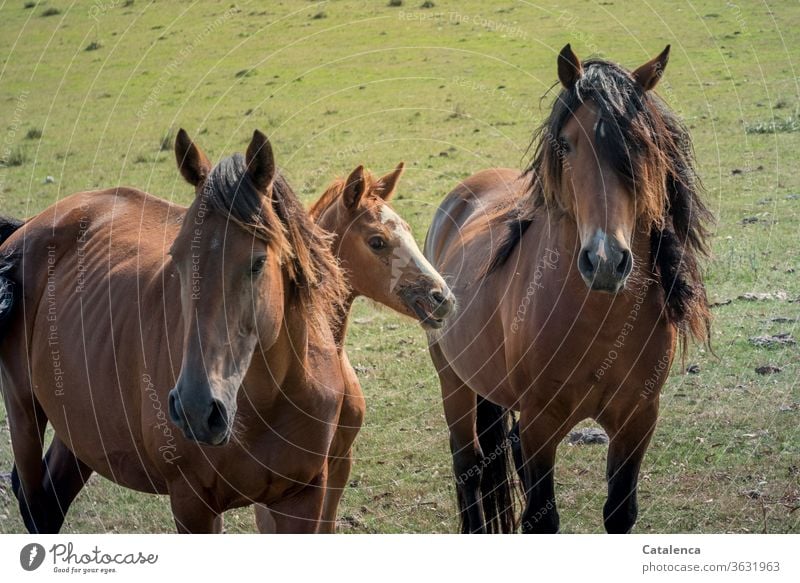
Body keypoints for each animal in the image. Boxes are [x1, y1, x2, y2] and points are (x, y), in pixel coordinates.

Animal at [0, 129, 350, 532]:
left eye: (258, 262)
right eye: (177, 257)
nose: (197, 409)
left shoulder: (304, 496)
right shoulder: (192, 503)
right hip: (23, 411)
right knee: (36, 501)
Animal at [424, 45, 712, 532]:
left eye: (640, 145)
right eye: (565, 144)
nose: (605, 260)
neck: (600, 319)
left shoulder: (638, 420)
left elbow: (619, 512)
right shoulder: (541, 424)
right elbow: (541, 518)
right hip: (454, 381)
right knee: (469, 468)